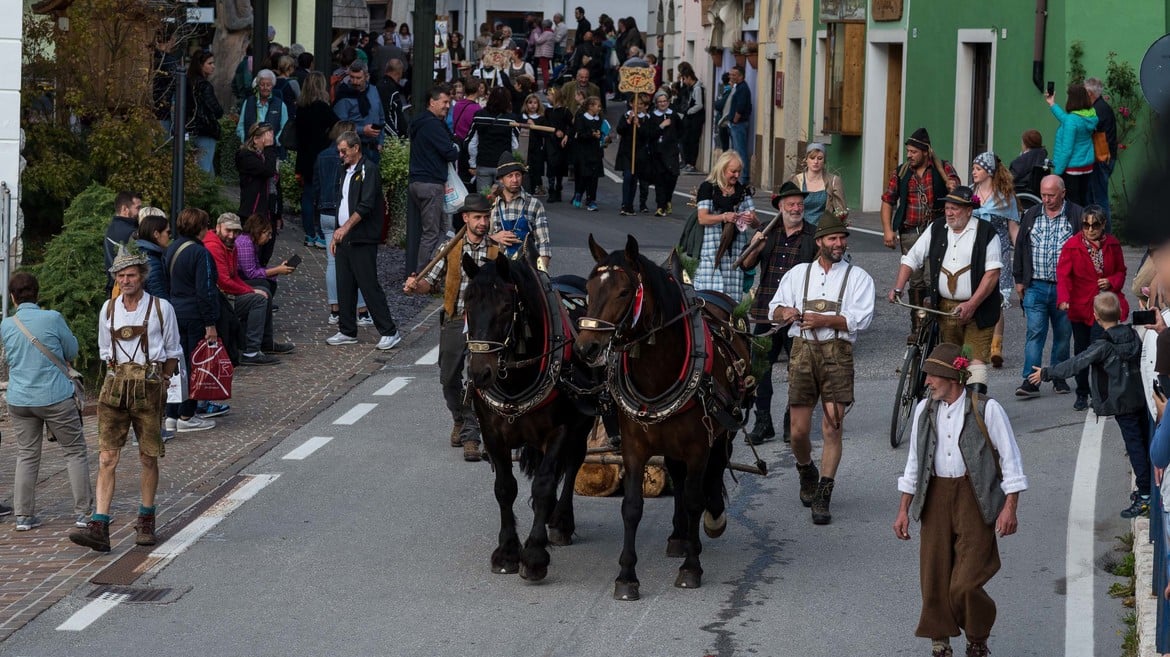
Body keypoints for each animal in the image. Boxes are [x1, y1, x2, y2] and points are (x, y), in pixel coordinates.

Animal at [460, 244, 599, 577]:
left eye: (505, 307)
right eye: (467, 303)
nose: (480, 373)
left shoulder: (560, 429)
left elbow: (545, 484)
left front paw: (534, 554)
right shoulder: (492, 433)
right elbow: (504, 488)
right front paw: (507, 551)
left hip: (582, 420)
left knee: (573, 463)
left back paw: (560, 522)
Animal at [577, 234, 758, 598]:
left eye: (624, 292)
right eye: (588, 288)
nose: (586, 347)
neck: (658, 373)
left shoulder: (699, 445)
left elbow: (693, 499)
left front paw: (691, 567)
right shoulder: (634, 446)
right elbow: (632, 507)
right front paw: (627, 576)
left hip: (724, 425)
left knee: (715, 469)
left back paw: (708, 523)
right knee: (677, 472)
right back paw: (678, 537)